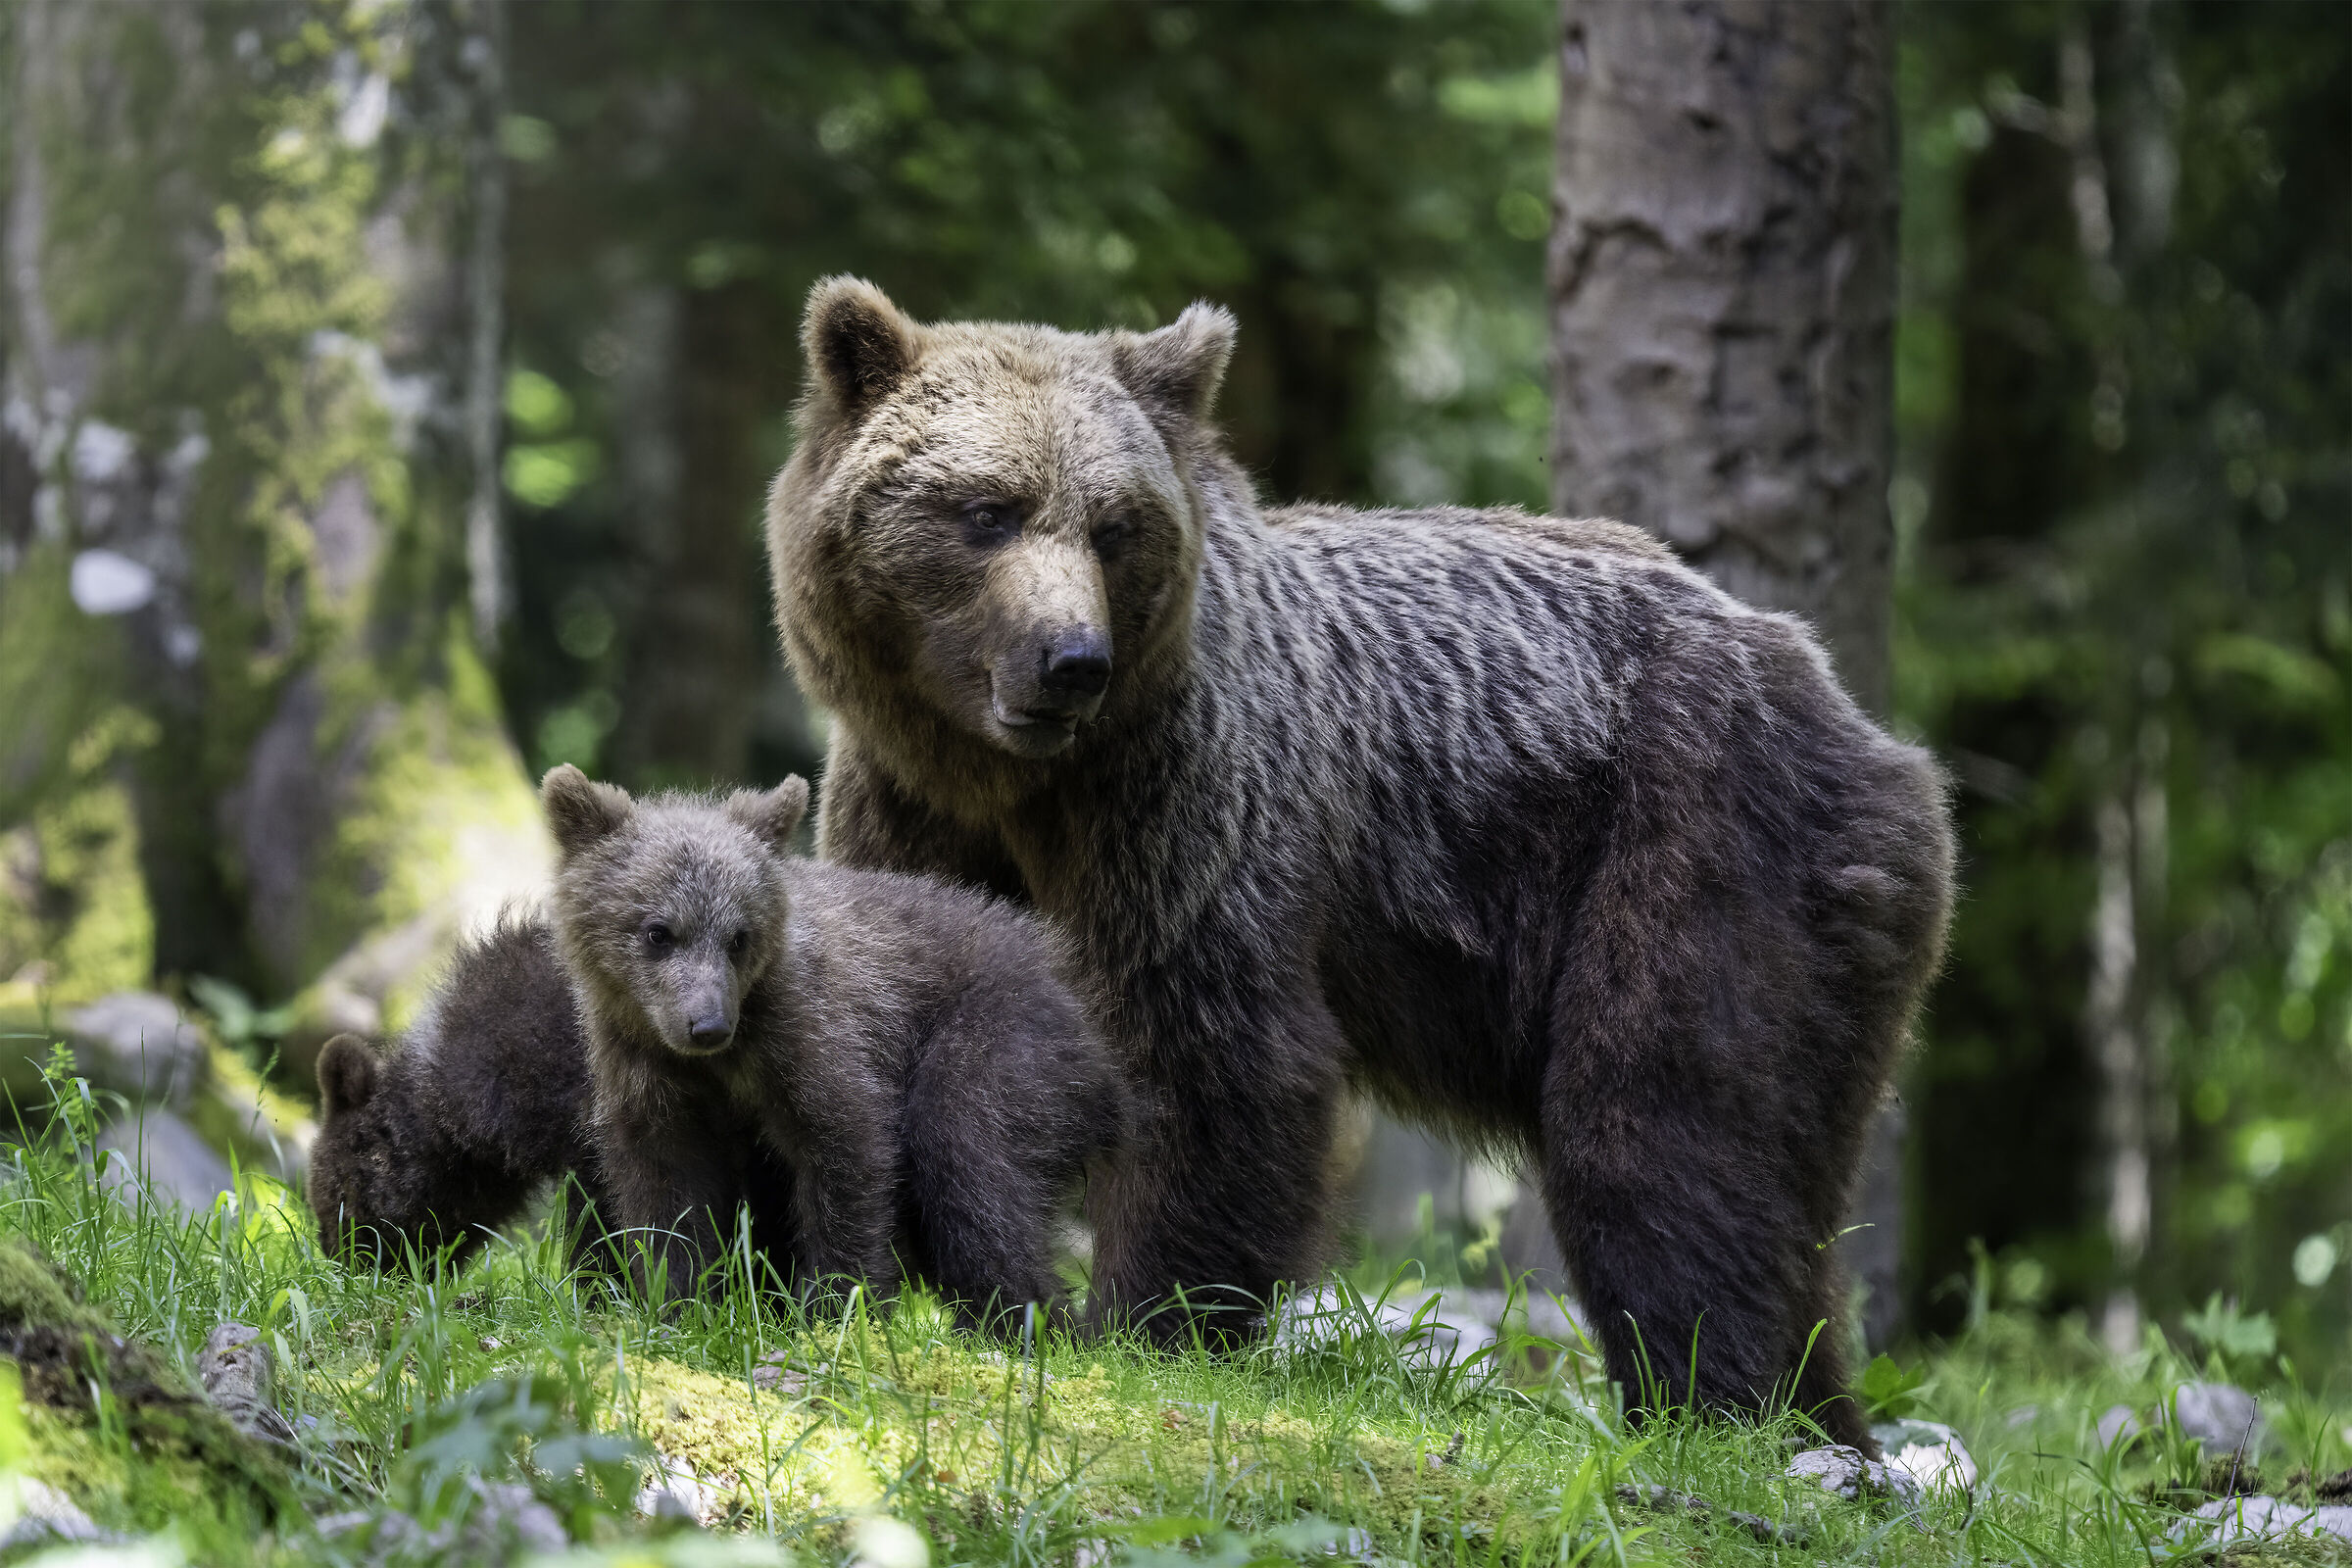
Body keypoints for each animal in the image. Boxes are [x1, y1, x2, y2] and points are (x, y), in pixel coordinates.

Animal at [539, 764, 1128, 1328]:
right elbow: (668, 1194)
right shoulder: (647, 1075)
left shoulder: (813, 1035)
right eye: (658, 931)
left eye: (739, 937)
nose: (707, 1026)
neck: (720, 1062)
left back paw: (1026, 1323)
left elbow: (847, 1151)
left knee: (969, 1156)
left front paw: (836, 1307)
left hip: (1001, 1036)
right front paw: (683, 1304)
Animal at [763, 278, 1955, 1449]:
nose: (1072, 662)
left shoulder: (1189, 798)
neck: (1013, 783)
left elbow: (1208, 1054)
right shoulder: (911, 813)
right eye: (987, 512)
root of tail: (1845, 699)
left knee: (1670, 1121)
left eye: (1111, 527)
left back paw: (1729, 1406)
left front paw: (1148, 1321)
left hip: (1703, 834)